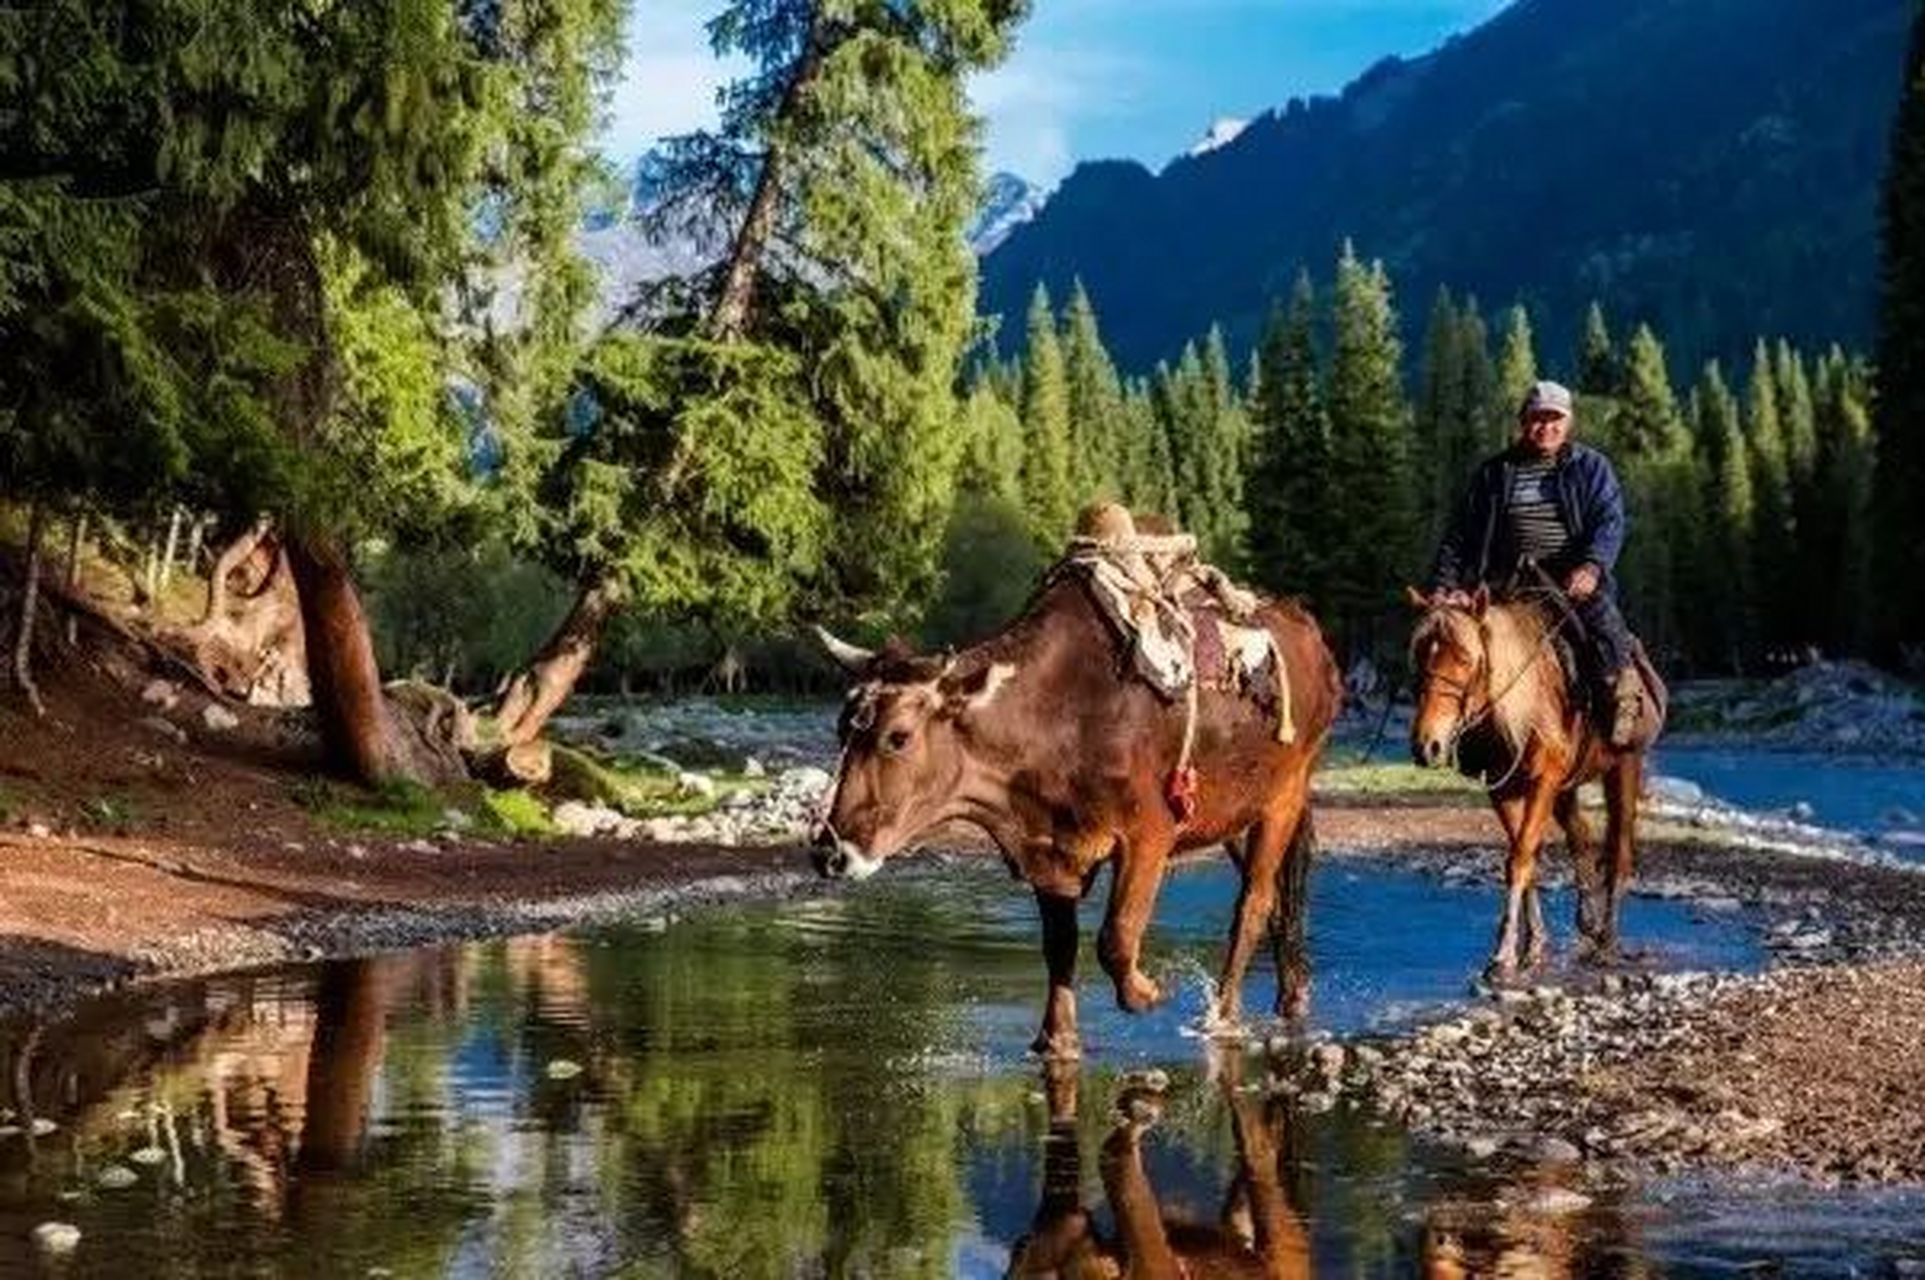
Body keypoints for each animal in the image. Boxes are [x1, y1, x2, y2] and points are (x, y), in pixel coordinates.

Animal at [808, 573, 1339, 1054]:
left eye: (898, 737)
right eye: (841, 728)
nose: (829, 851)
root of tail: (1306, 628)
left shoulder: (1149, 833)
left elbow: (1115, 938)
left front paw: (1147, 992)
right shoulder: (1051, 849)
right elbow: (1060, 947)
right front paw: (1056, 1040)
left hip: (1284, 797)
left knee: (1254, 903)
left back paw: (1225, 1016)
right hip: (1232, 815)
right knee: (1280, 903)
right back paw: (1292, 997)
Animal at [1409, 588, 1663, 977]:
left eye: (1466, 658)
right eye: (1419, 654)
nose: (1427, 745)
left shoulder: (1543, 781)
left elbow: (1520, 858)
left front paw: (1503, 954)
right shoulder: (1503, 789)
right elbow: (1526, 856)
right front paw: (1534, 945)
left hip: (1623, 767)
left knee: (1619, 851)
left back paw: (1606, 940)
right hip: (1566, 789)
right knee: (1580, 834)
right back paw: (1588, 920)